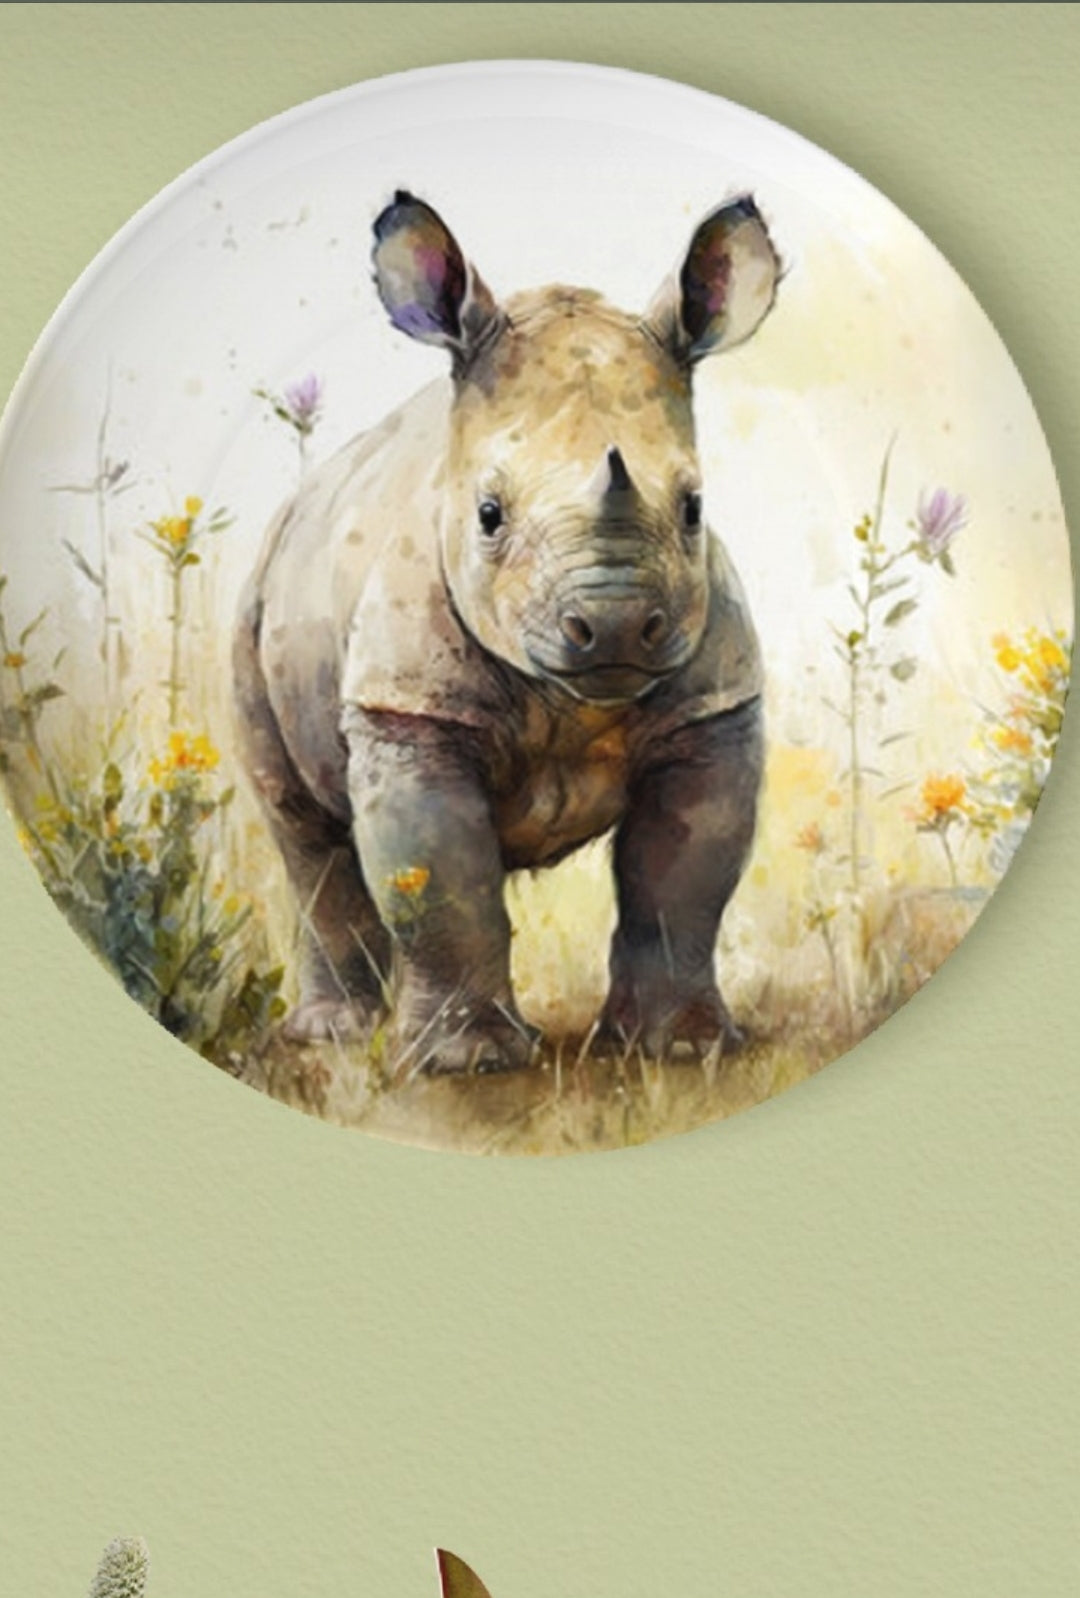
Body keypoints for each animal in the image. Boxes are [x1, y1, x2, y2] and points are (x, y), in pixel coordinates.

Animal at [233, 190, 780, 1074]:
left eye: (694, 509)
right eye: (488, 515)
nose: (616, 626)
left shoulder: (712, 702)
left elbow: (682, 883)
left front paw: (681, 1048)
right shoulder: (410, 705)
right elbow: (443, 886)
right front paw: (470, 1063)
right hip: (255, 605)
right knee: (305, 833)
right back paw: (332, 1035)